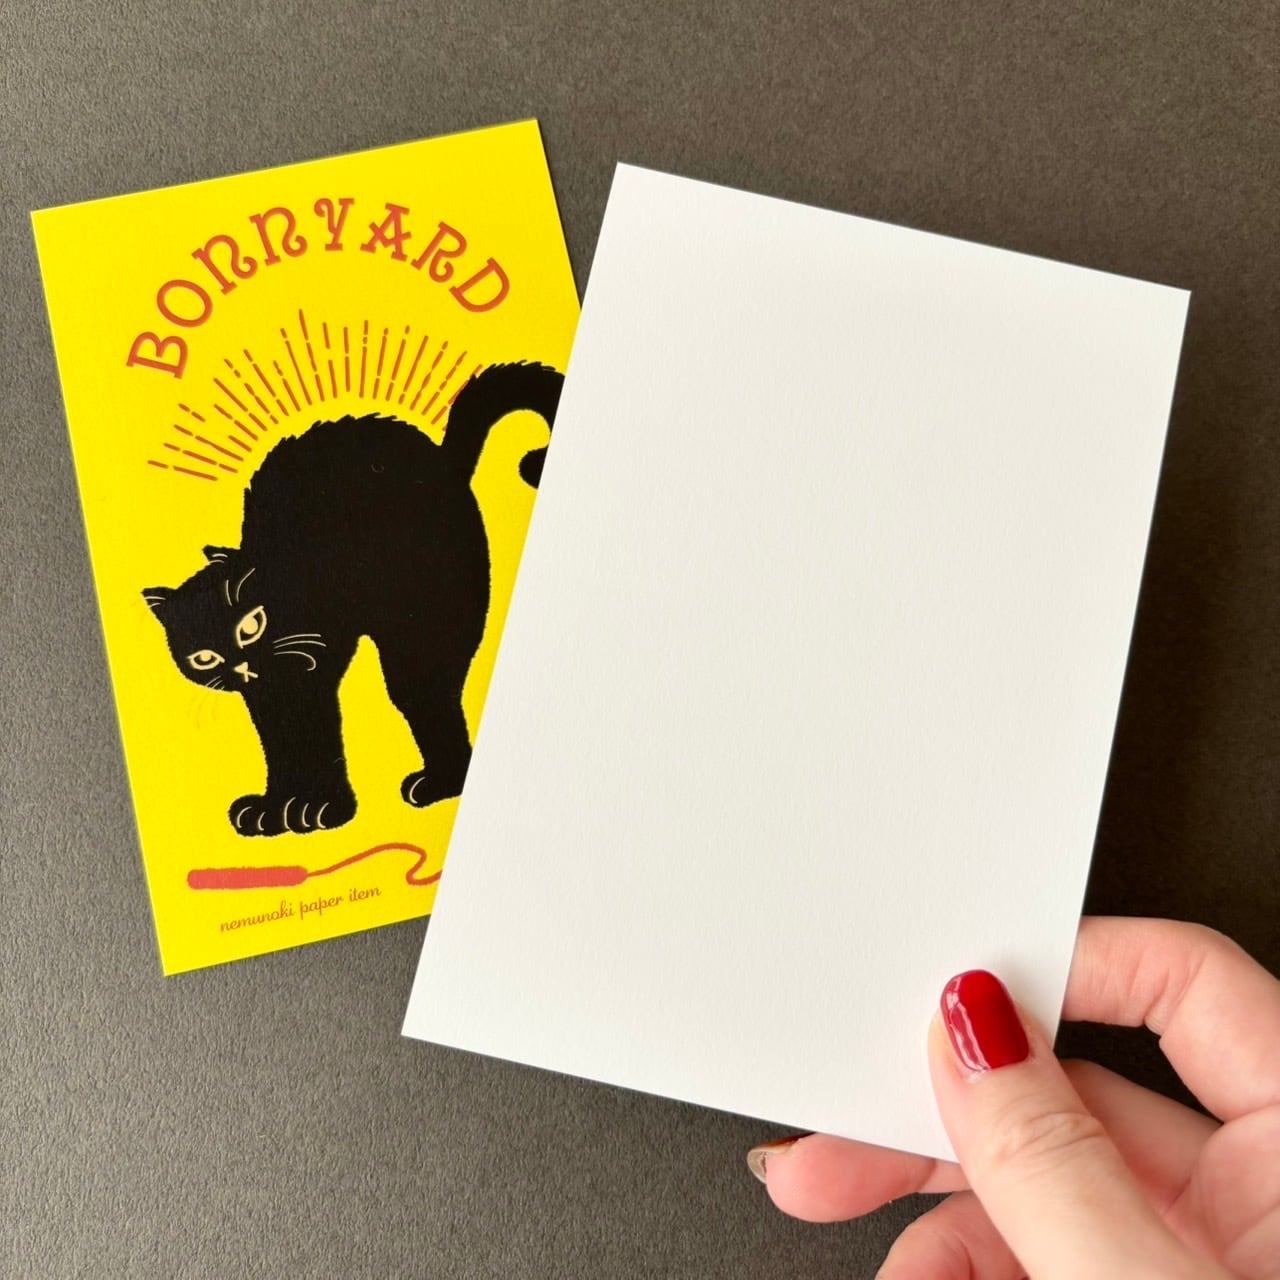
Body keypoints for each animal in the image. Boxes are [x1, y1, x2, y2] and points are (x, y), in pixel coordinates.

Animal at [143, 361, 562, 837]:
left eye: (251, 624)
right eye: (204, 658)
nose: (241, 665)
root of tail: (444, 461)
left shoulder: (312, 669)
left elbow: (320, 738)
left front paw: (321, 809)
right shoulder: (268, 694)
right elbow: (281, 747)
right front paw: (273, 809)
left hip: (422, 639)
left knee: (430, 699)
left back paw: (439, 786)